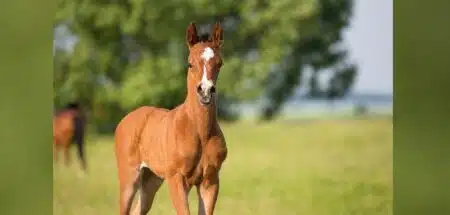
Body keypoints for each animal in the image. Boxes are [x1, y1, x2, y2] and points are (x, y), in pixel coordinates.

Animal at [115, 22, 229, 214]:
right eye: (190, 64)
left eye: (219, 64)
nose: (205, 91)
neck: (199, 131)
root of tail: (126, 120)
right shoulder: (176, 179)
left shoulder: (210, 181)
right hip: (129, 179)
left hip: (151, 179)